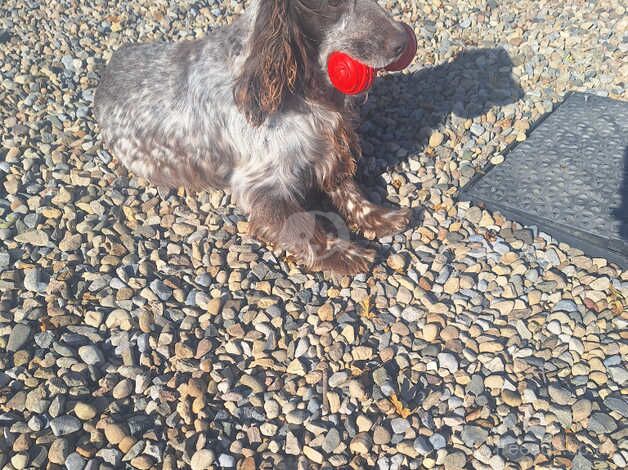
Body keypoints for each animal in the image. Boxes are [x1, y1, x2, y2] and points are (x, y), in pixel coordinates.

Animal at [94, 0, 412, 274]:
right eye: (334, 3)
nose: (403, 41)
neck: (300, 88)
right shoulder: (262, 186)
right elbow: (305, 224)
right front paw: (344, 254)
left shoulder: (328, 150)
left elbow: (349, 190)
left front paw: (378, 217)